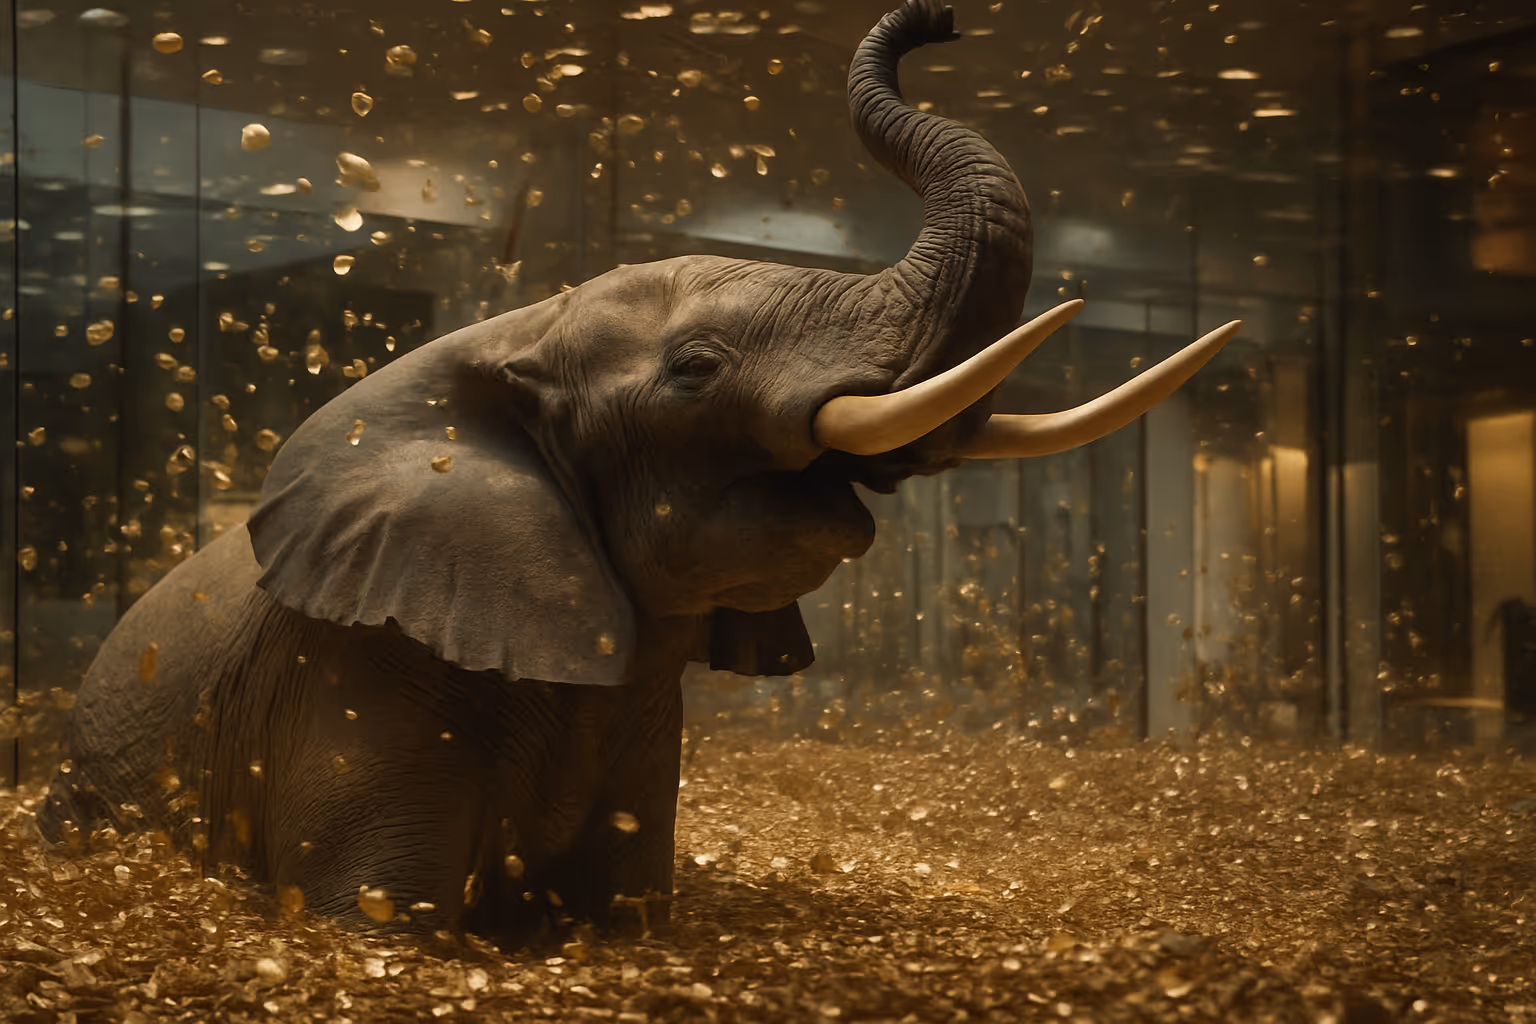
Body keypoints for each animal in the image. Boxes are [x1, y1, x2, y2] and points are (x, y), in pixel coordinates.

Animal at [34, 0, 1238, 944]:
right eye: (695, 370)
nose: (938, 21)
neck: (513, 328)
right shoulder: (355, 674)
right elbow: (373, 923)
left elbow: (625, 910)